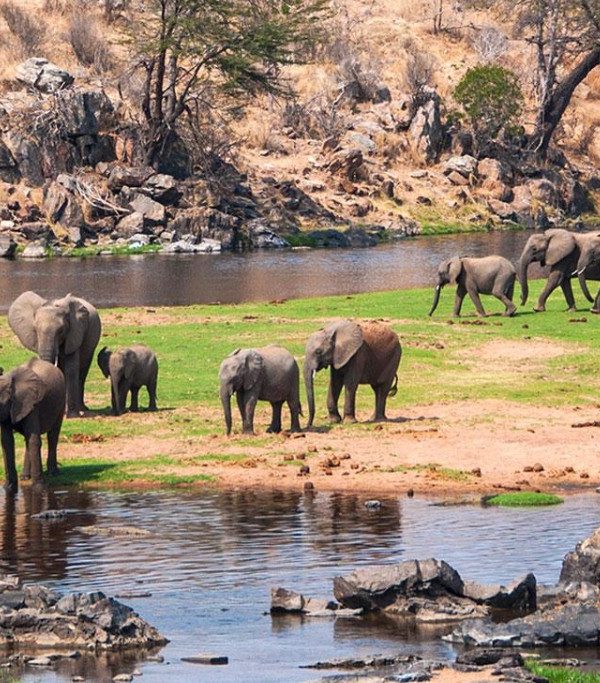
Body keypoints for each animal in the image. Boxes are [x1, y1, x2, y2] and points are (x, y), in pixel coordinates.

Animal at [0, 359, 66, 493]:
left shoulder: (32, 404)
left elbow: (34, 441)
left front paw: (39, 489)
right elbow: (7, 442)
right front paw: (8, 489)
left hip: (61, 400)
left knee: (53, 435)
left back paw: (53, 473)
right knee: (27, 439)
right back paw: (25, 476)